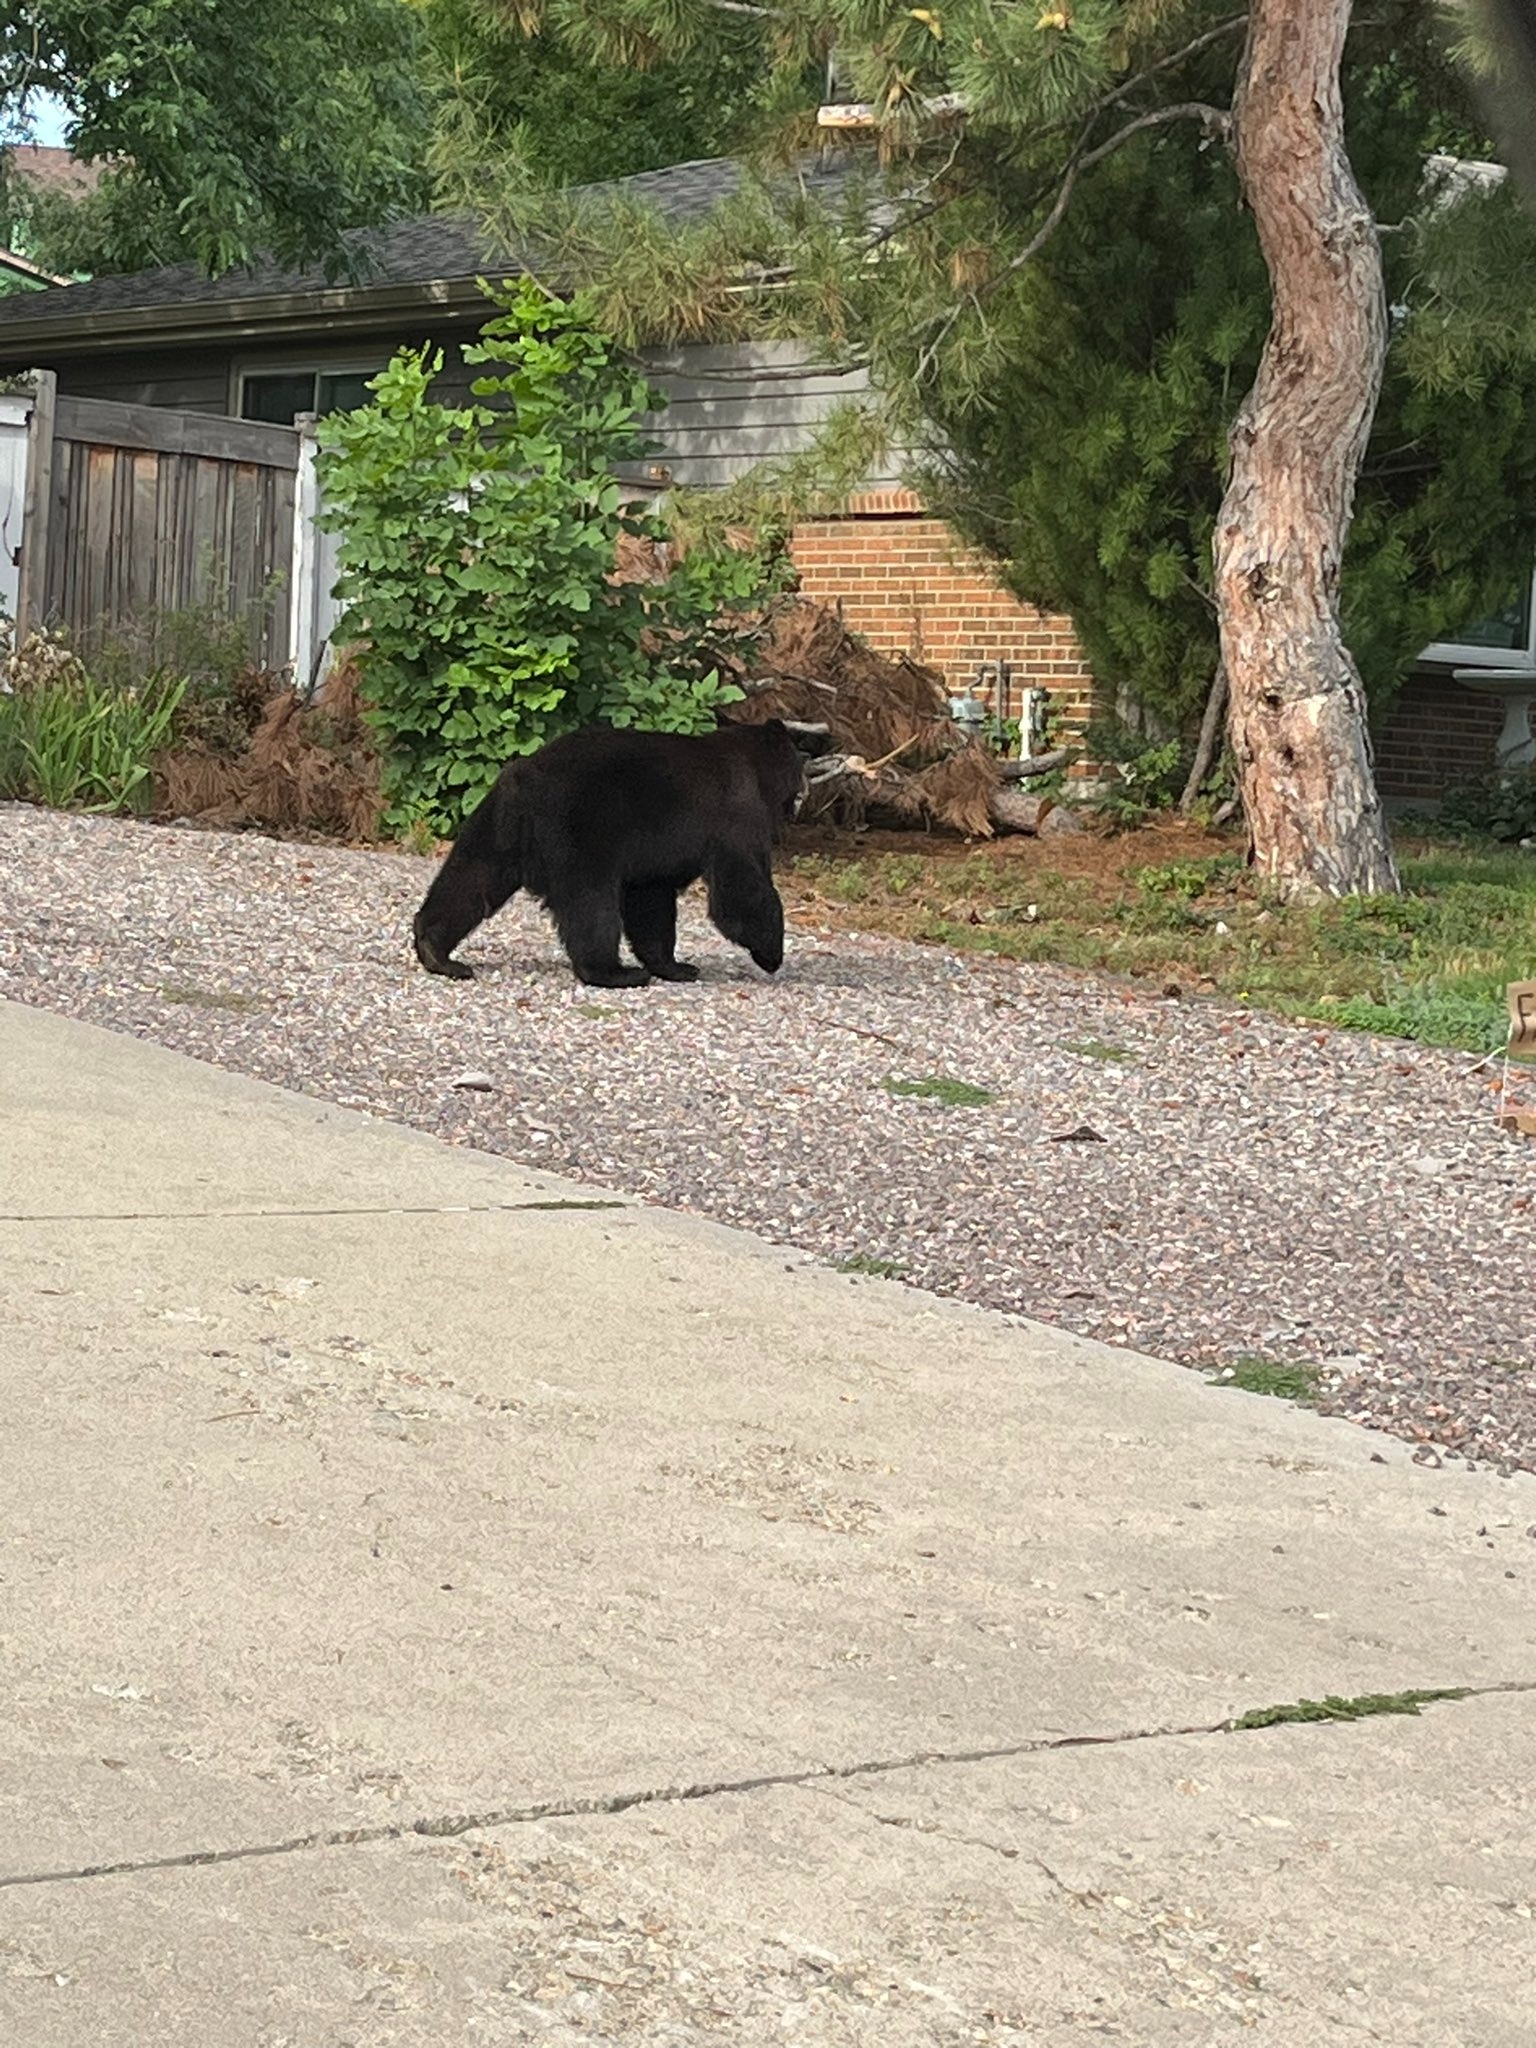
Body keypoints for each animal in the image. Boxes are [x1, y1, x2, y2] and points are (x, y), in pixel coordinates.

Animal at [411, 718, 812, 988]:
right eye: (800, 761)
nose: (806, 788)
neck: (756, 771)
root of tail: (527, 780)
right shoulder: (735, 814)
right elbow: (742, 886)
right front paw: (771, 953)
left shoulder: (656, 855)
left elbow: (651, 901)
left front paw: (676, 966)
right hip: (582, 833)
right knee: (592, 905)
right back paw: (614, 972)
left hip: (499, 826)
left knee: (470, 878)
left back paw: (438, 953)